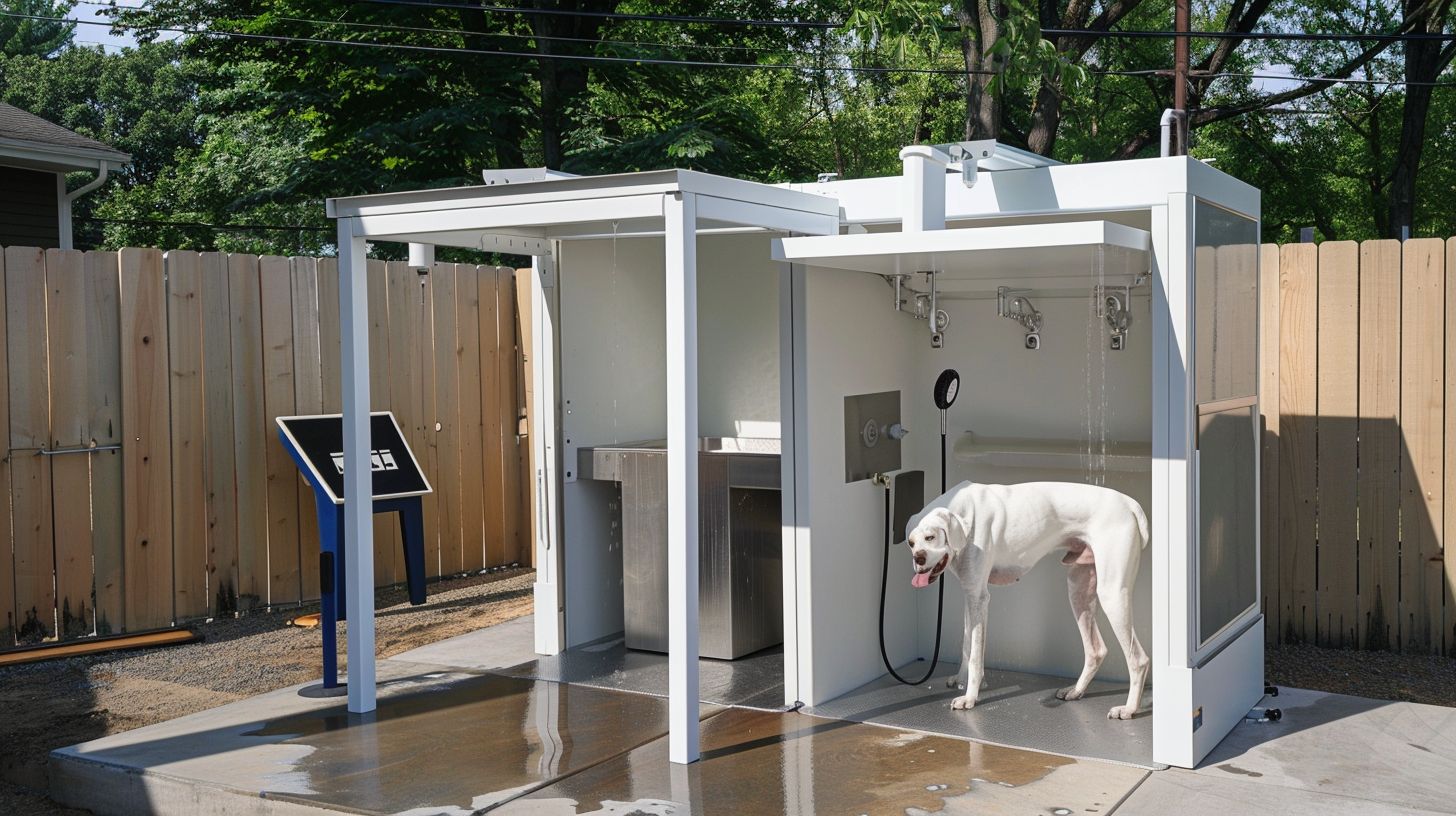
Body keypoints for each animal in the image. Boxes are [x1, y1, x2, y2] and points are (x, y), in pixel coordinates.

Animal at [908, 480, 1147, 716]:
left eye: (931, 537)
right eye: (911, 542)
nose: (918, 558)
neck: (965, 519)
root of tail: (1129, 503)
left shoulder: (978, 597)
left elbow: (976, 656)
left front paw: (970, 698)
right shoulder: (971, 595)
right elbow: (967, 645)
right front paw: (961, 681)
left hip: (1112, 595)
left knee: (1139, 659)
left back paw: (1128, 709)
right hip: (1078, 591)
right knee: (1096, 651)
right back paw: (1075, 691)